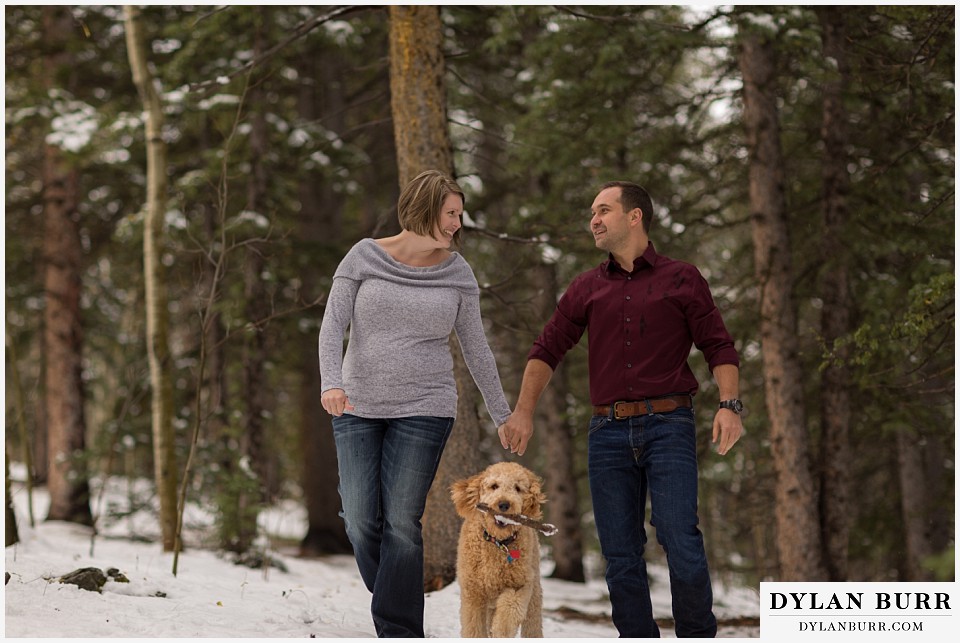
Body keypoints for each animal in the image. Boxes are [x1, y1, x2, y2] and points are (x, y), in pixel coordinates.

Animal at [450, 462, 548, 640]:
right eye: (494, 486)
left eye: (517, 488)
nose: (503, 504)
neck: (498, 542)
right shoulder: (473, 592)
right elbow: (473, 627)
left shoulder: (519, 586)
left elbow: (509, 613)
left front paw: (500, 631)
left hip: (534, 589)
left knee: (532, 623)